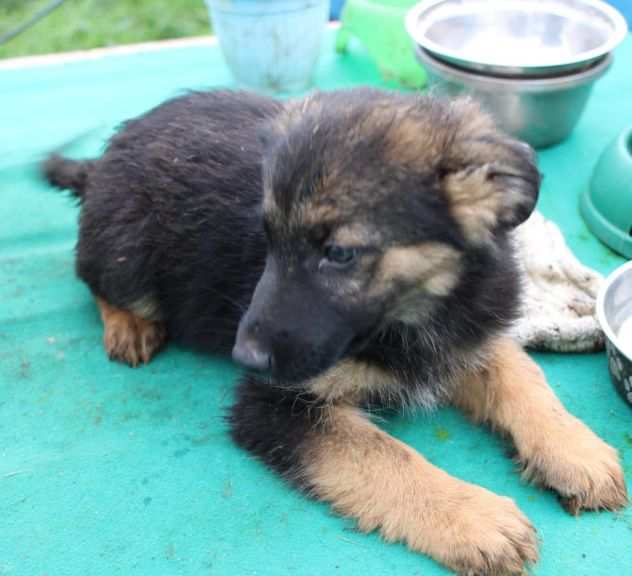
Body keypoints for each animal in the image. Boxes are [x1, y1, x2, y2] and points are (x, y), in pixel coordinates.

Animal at [45, 88, 628, 572]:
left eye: (339, 254)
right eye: (268, 241)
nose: (243, 357)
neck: (410, 317)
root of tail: (103, 159)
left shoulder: (473, 335)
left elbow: (524, 378)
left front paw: (575, 450)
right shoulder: (276, 405)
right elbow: (384, 455)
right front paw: (474, 516)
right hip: (129, 253)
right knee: (91, 276)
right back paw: (129, 325)